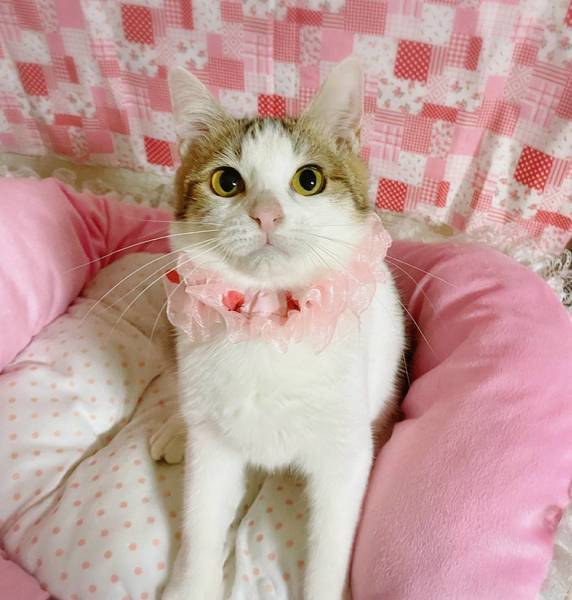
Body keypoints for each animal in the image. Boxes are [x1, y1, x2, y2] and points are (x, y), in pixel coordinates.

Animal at [150, 58, 405, 600]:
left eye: (309, 179)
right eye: (226, 182)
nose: (266, 214)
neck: (269, 324)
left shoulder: (345, 453)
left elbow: (331, 546)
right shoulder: (214, 453)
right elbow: (202, 524)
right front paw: (191, 584)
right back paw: (175, 428)